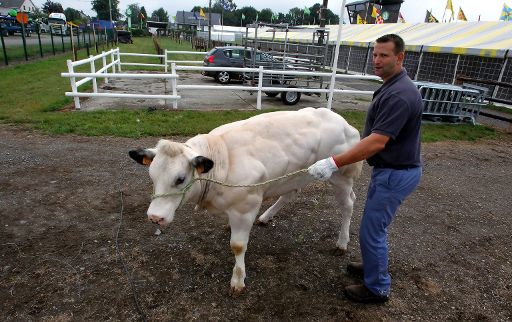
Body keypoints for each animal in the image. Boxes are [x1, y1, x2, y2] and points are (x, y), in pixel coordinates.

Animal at [128, 107, 362, 294]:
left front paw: (238, 279)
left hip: (341, 177)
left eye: (180, 179)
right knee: (289, 194)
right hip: (293, 176)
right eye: (152, 176)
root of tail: (342, 122)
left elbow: (238, 245)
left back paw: (342, 242)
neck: (222, 161)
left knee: (348, 204)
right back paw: (266, 216)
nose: (154, 217)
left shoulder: (245, 207)